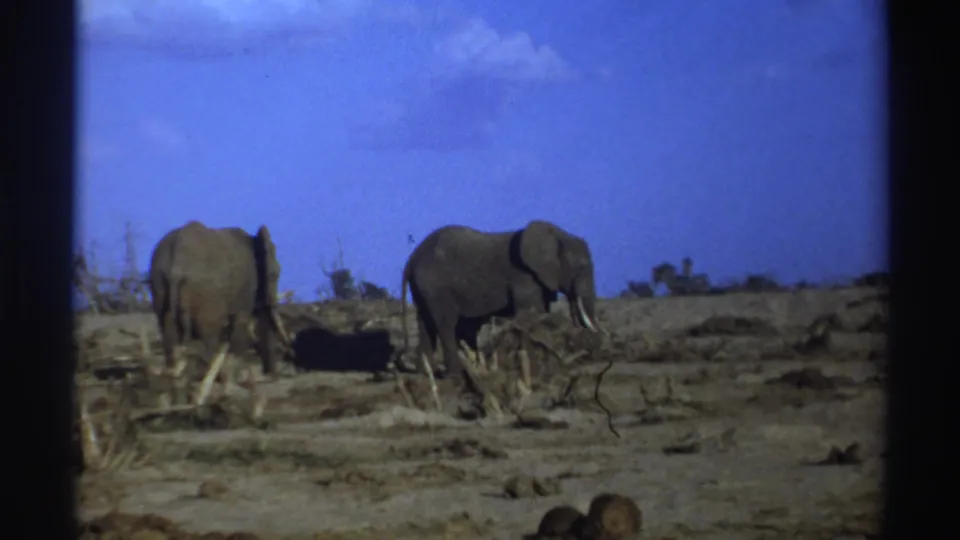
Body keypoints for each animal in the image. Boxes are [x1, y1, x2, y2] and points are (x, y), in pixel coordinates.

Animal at [147, 220, 292, 388]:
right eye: (275, 275)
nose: (271, 376)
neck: (255, 239)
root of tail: (178, 263)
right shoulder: (247, 284)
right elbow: (241, 321)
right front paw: (238, 377)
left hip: (159, 282)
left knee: (167, 326)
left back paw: (176, 373)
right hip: (208, 291)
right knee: (208, 330)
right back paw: (211, 376)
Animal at [400, 220, 602, 382]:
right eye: (580, 268)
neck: (558, 235)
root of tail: (412, 258)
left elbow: (542, 314)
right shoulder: (524, 277)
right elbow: (531, 315)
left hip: (423, 287)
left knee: (426, 323)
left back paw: (427, 374)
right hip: (436, 285)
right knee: (446, 323)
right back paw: (455, 377)